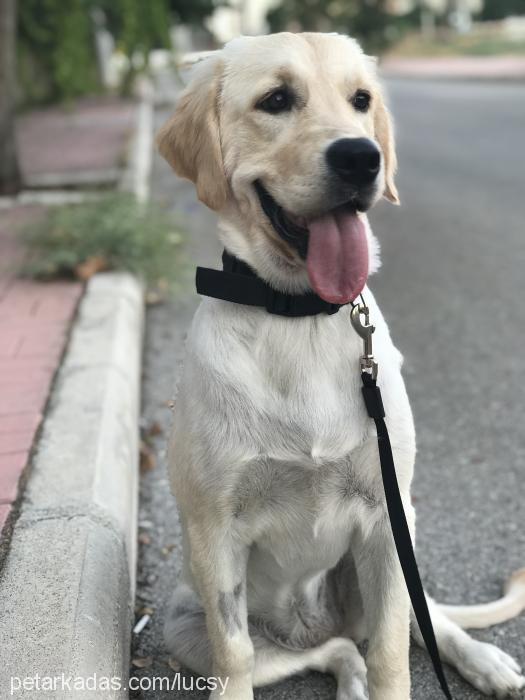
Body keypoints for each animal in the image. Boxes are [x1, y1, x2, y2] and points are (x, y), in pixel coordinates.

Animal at [156, 34, 524, 700]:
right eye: (276, 100)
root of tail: (311, 621)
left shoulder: (386, 519)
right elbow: (235, 656)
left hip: (394, 557)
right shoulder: (215, 536)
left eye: (361, 100)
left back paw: (486, 661)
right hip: (186, 627)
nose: (361, 158)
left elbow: (391, 655)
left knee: (419, 622)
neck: (296, 315)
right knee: (330, 651)